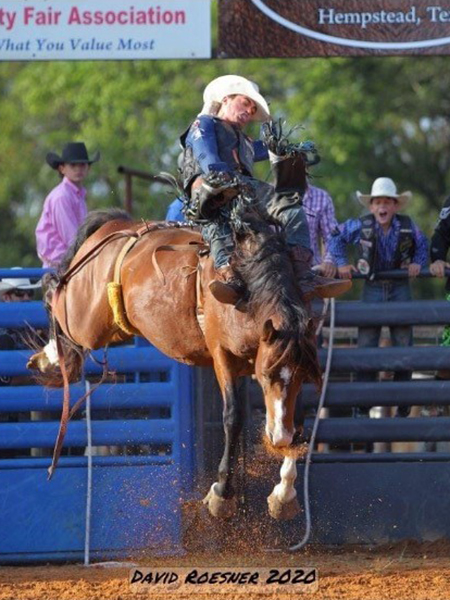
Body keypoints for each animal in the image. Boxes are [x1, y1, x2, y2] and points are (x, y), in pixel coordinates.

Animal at [29, 206, 320, 520]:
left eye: (304, 376)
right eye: (265, 376)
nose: (279, 438)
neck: (248, 287)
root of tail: (114, 225)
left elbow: (298, 421)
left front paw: (284, 493)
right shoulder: (223, 356)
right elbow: (233, 417)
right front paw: (221, 493)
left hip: (114, 326)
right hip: (85, 319)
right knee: (53, 289)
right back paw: (50, 356)